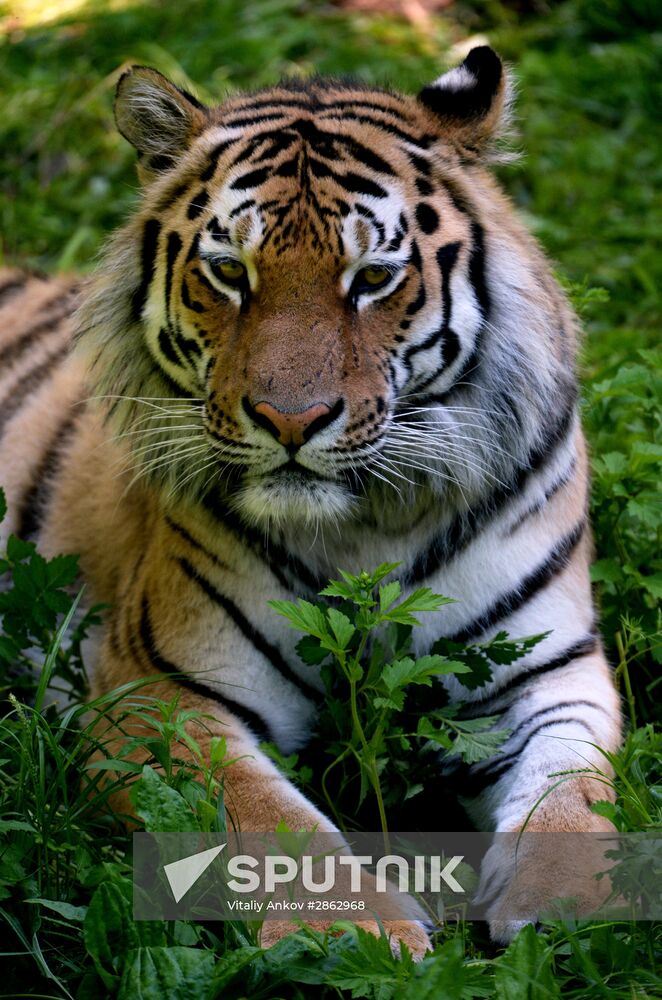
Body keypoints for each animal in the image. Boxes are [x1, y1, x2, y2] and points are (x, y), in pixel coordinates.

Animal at [0, 47, 624, 952]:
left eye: (373, 279)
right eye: (230, 272)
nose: (290, 420)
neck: (370, 526)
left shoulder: (550, 669)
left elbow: (573, 789)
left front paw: (572, 909)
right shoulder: (155, 687)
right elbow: (267, 820)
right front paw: (363, 936)